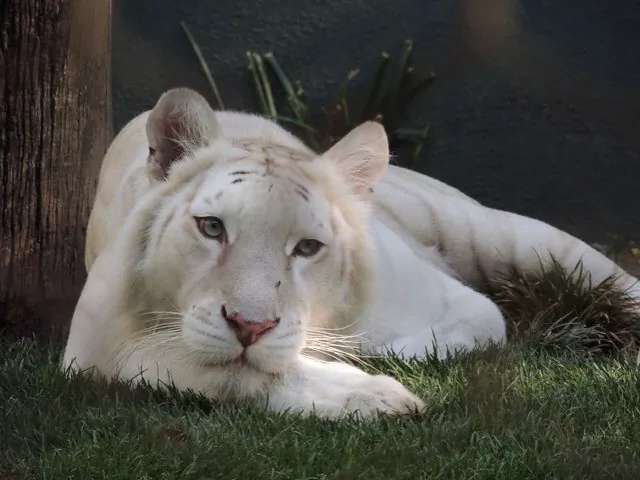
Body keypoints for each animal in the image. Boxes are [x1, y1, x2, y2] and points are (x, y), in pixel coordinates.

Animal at [62, 88, 640, 418]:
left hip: (511, 235)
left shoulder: (451, 300)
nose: (250, 326)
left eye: (307, 247)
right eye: (211, 228)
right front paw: (376, 396)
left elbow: (479, 324)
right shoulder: (94, 343)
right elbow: (214, 369)